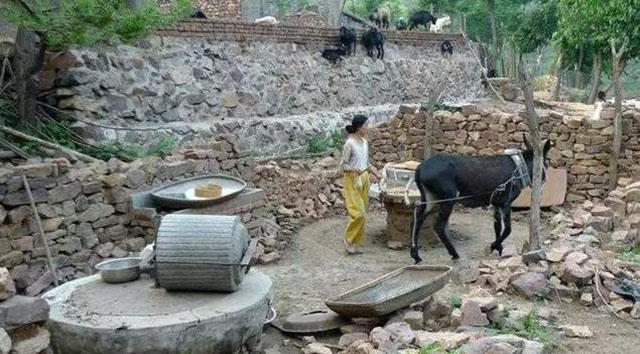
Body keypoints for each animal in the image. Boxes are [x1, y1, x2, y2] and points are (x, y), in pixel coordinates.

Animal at [410, 138, 552, 262]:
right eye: (546, 162)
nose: (544, 179)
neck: (519, 169)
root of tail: (420, 169)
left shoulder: (496, 203)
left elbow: (497, 226)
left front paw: (499, 249)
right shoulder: (506, 202)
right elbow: (507, 229)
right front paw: (492, 246)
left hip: (431, 198)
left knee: (418, 219)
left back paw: (416, 256)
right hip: (448, 198)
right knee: (438, 225)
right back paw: (454, 254)